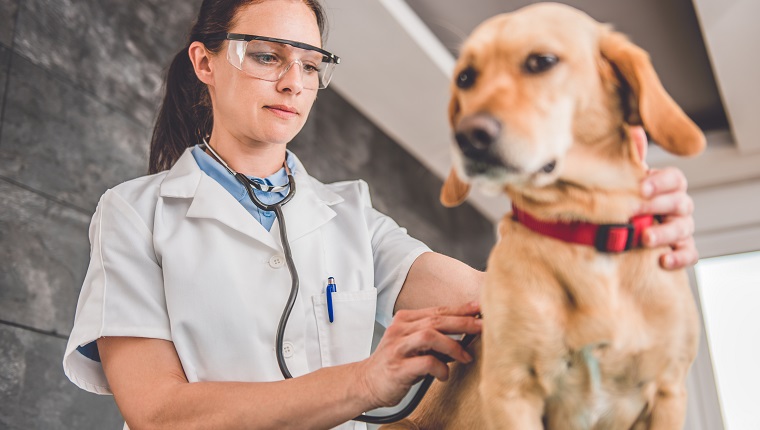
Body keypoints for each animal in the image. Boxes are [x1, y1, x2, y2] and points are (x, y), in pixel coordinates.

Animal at [382, 3, 704, 430]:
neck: (589, 228)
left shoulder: (668, 393)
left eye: (542, 62)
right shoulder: (512, 392)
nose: (466, 137)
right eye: (466, 78)